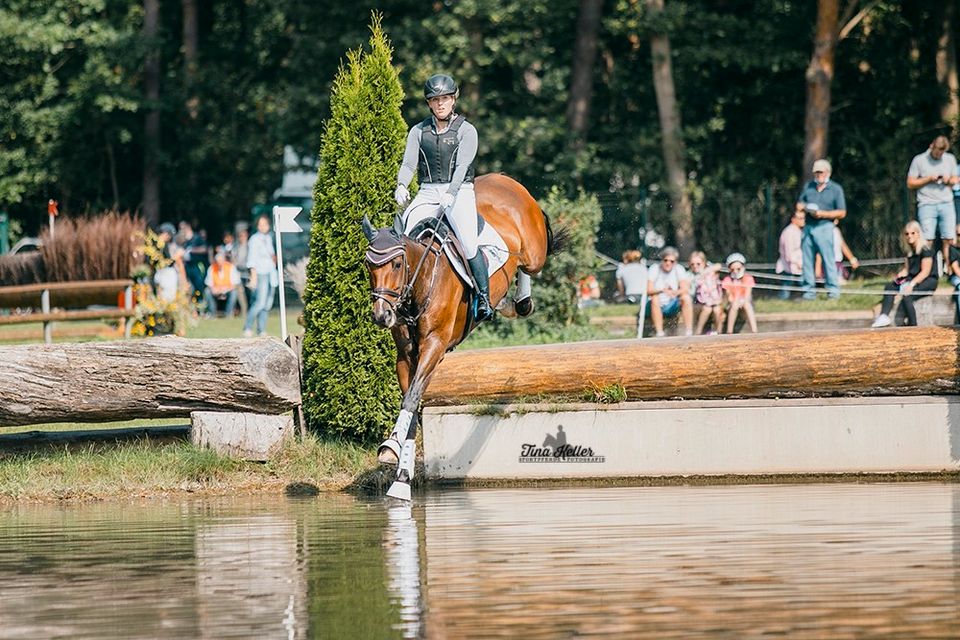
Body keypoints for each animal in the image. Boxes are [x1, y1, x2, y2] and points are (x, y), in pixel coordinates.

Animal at [360, 174, 556, 500]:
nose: (381, 315)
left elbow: (411, 399)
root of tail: (504, 179)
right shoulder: (407, 356)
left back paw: (516, 303)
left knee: (529, 267)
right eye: (368, 266)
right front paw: (401, 477)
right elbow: (412, 402)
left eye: (397, 265)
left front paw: (390, 448)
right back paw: (504, 304)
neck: (421, 282)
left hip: (534, 252)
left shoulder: (434, 346)